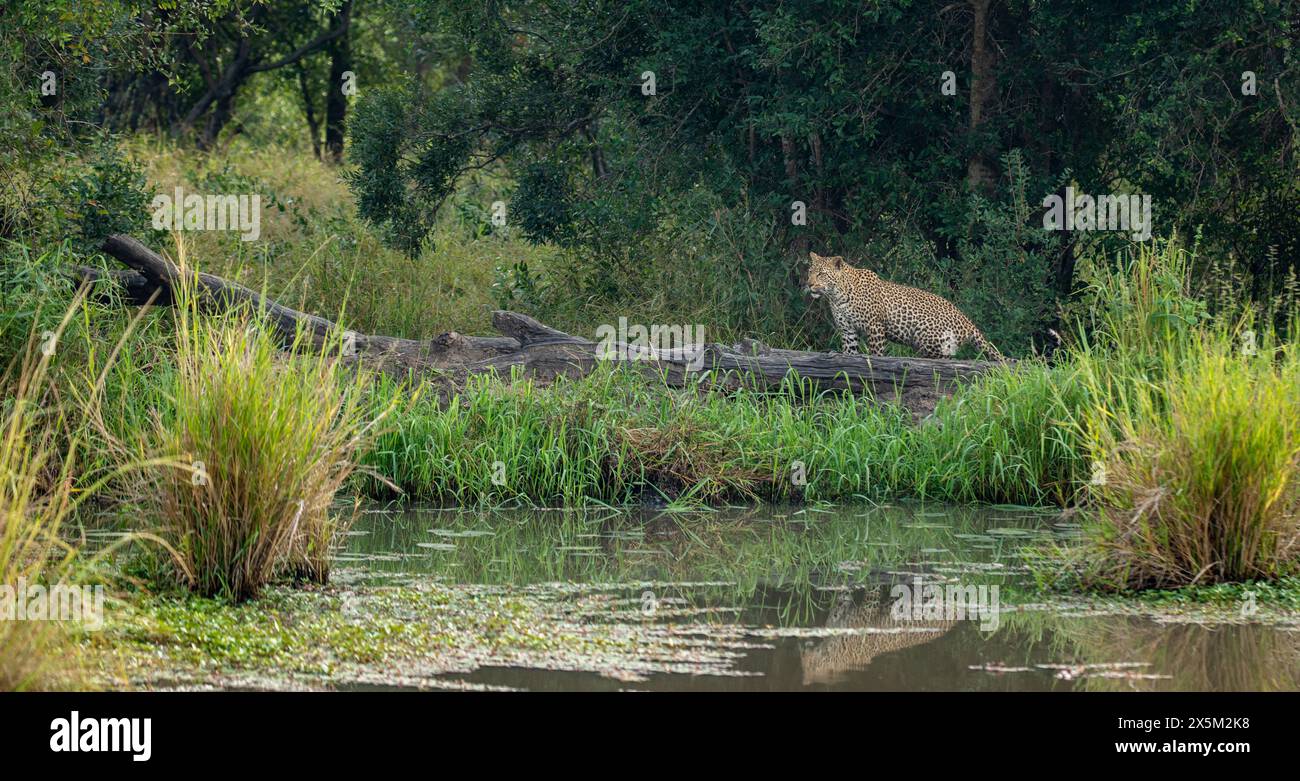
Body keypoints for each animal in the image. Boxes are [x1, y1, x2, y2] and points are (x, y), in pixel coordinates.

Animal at [803, 251, 1004, 360]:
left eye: (821, 274)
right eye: (810, 271)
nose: (809, 283)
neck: (836, 295)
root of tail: (966, 320)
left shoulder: (875, 326)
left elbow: (876, 353)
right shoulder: (847, 331)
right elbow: (849, 352)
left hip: (927, 336)